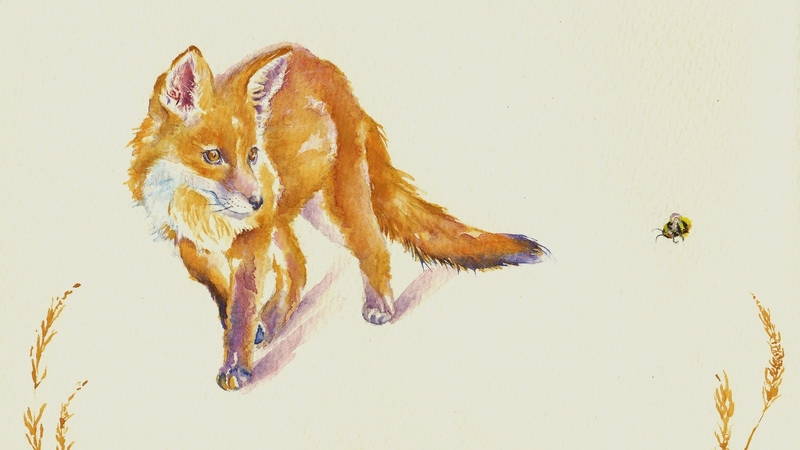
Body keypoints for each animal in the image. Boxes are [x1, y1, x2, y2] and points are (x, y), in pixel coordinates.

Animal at [127, 43, 550, 390]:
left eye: (251, 154)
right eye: (213, 156)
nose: (256, 199)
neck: (199, 210)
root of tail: (322, 64)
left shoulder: (251, 239)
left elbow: (242, 309)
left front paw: (237, 365)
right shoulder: (191, 247)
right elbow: (224, 297)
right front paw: (250, 331)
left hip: (334, 209)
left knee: (373, 247)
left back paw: (379, 305)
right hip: (288, 215)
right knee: (297, 268)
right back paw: (275, 319)